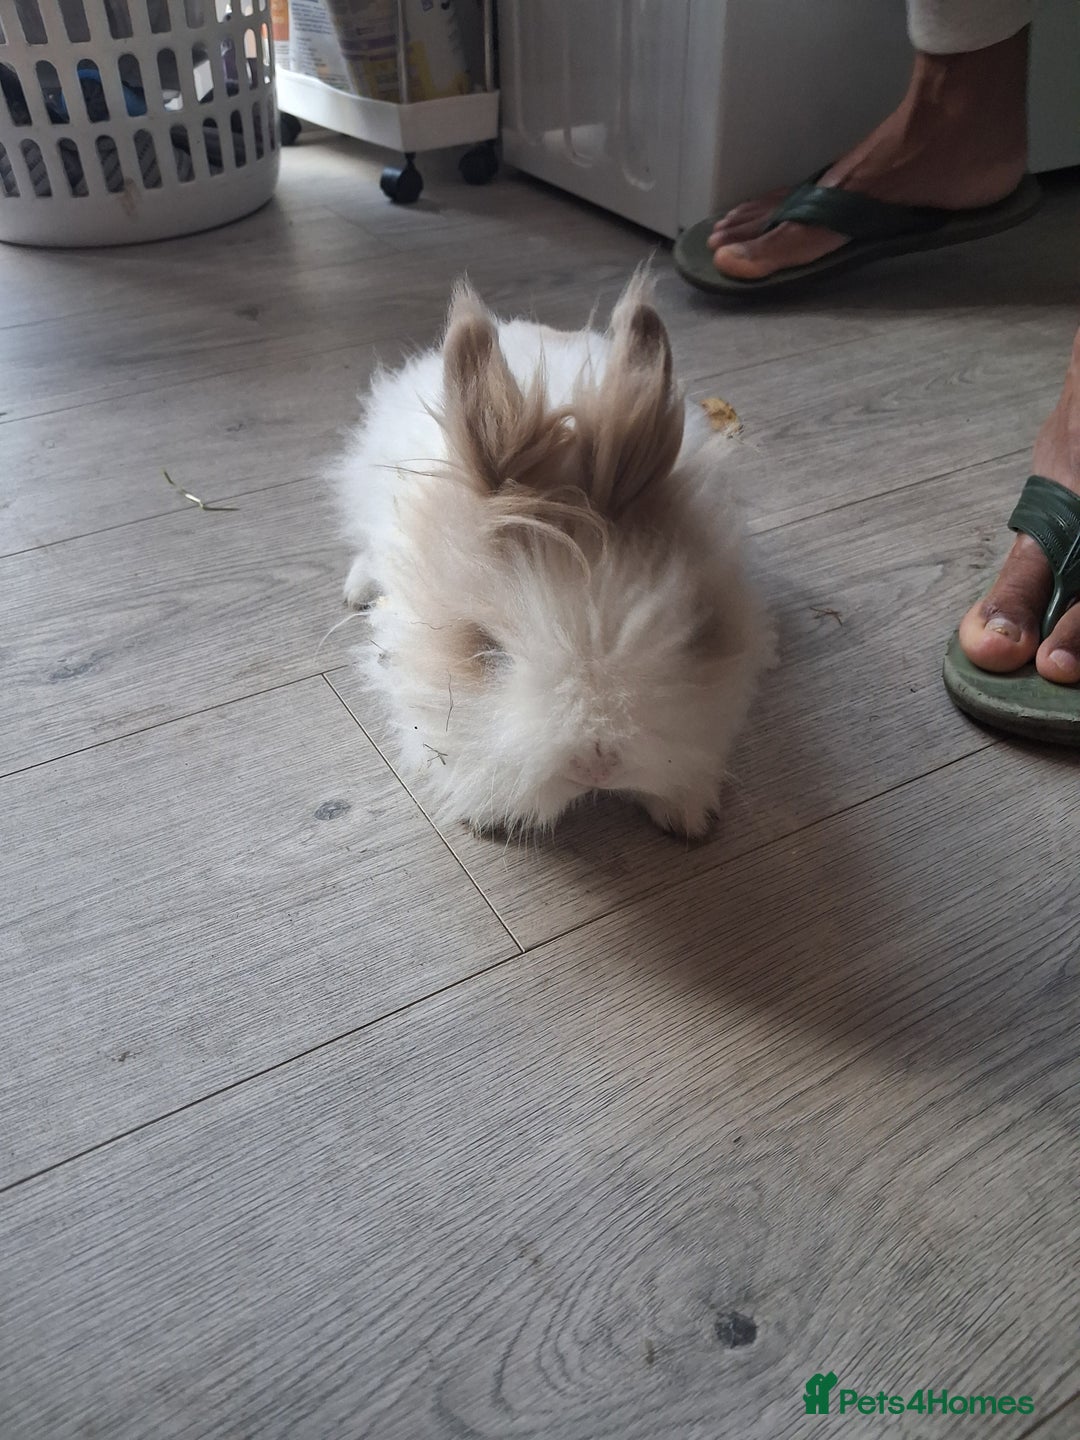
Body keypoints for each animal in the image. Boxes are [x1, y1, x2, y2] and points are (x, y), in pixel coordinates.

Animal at [334, 271, 773, 840]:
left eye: (693, 630)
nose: (597, 765)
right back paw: (356, 590)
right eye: (486, 650)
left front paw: (687, 818)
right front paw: (489, 815)